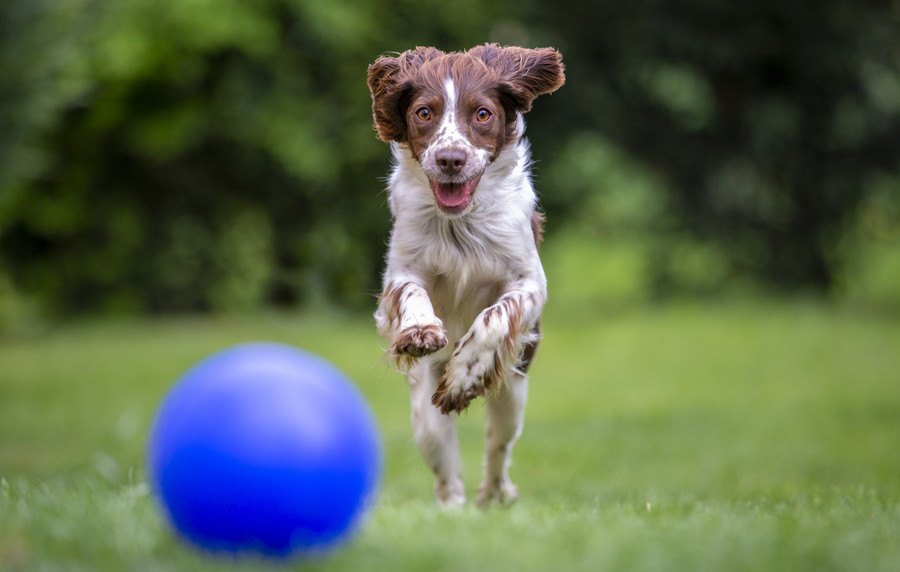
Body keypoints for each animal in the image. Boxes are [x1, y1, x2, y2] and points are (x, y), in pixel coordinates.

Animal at [366, 45, 564, 510]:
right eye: (424, 112)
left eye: (483, 113)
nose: (450, 160)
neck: (460, 222)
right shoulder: (401, 268)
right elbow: (411, 291)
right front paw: (420, 330)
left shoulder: (530, 282)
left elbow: (495, 316)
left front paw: (463, 377)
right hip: (424, 417)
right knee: (446, 472)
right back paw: (453, 511)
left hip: (512, 392)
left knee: (498, 446)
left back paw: (495, 494)